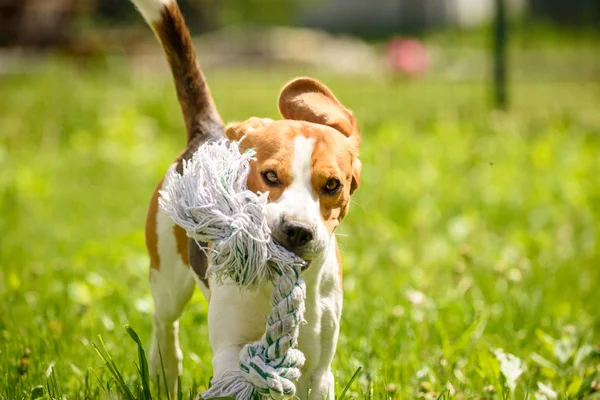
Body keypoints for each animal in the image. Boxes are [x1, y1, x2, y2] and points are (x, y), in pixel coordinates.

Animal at [132, 1, 360, 398]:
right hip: (167, 276)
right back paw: (165, 372)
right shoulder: (229, 351)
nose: (297, 231)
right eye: (269, 176)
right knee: (164, 322)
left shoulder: (319, 371)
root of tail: (208, 132)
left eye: (332, 185)